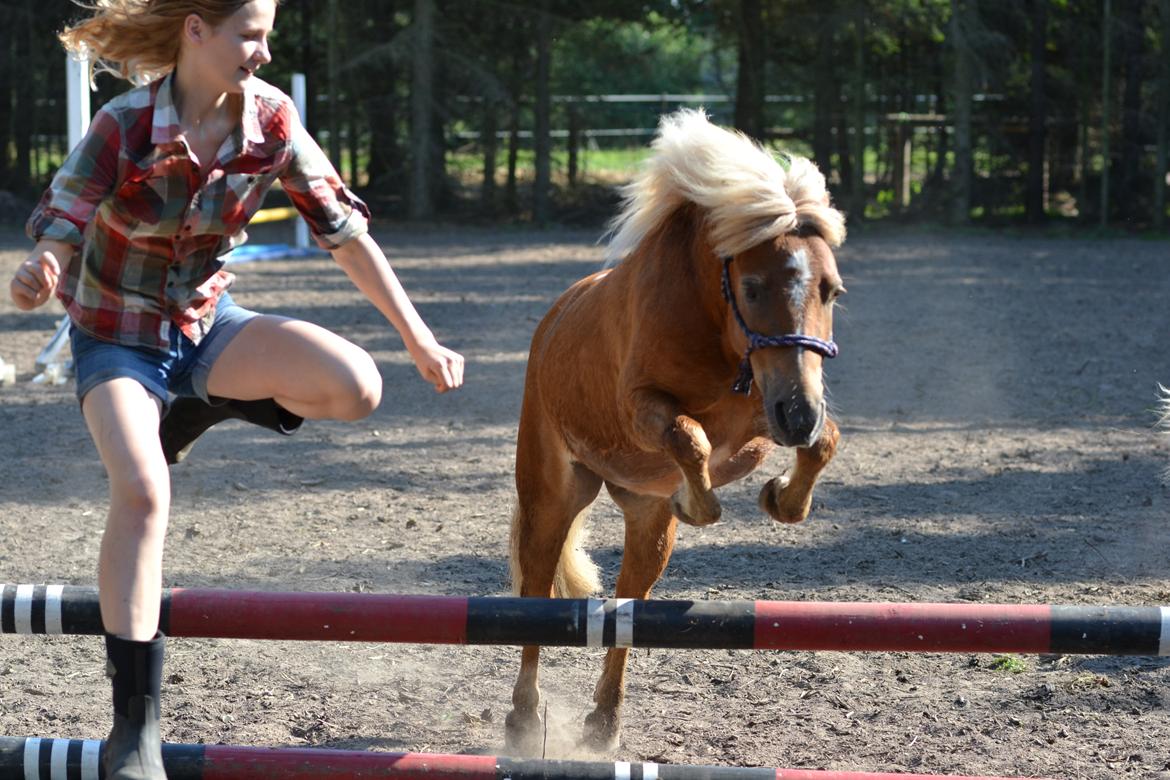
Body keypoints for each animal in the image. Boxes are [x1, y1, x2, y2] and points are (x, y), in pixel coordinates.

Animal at [507, 107, 847, 753]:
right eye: (753, 287)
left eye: (830, 290)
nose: (797, 413)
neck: (717, 330)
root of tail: (553, 319)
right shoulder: (645, 409)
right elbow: (691, 437)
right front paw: (698, 502)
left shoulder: (769, 411)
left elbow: (822, 442)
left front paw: (781, 496)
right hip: (553, 497)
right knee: (535, 596)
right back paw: (523, 721)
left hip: (645, 521)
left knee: (628, 604)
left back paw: (604, 722)